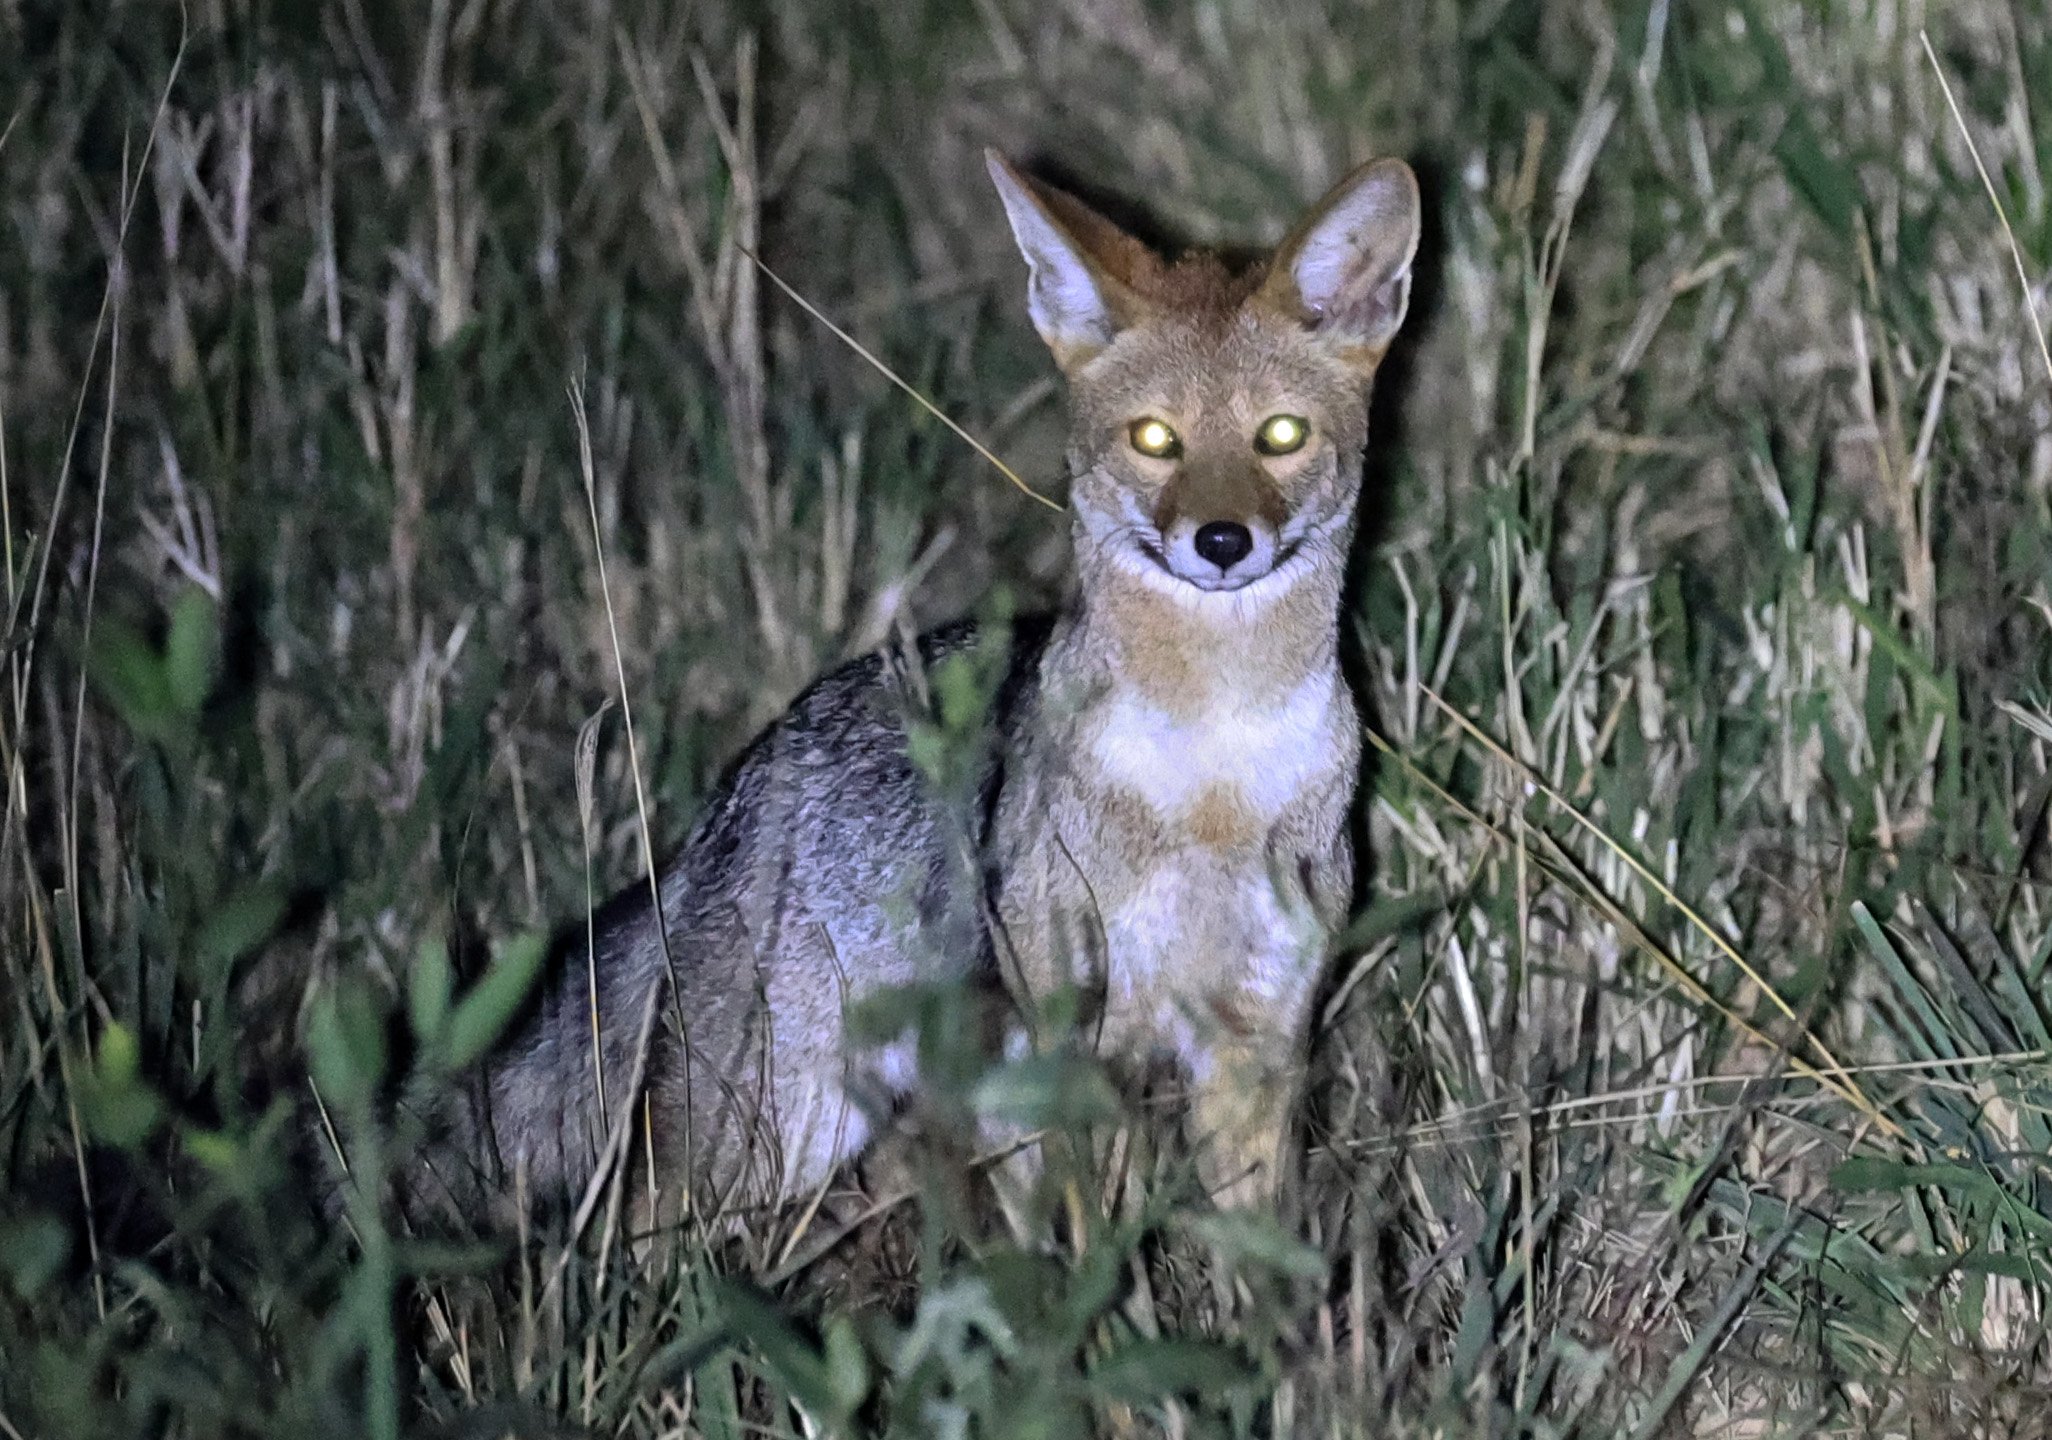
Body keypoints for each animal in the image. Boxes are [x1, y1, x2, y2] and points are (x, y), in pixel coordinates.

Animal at [400, 150, 1421, 1228]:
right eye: (1155, 439)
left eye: (1280, 435)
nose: (1223, 542)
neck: (1213, 776)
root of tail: (723, 809)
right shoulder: (1071, 1044)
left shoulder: (1255, 1048)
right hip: (766, 1146)